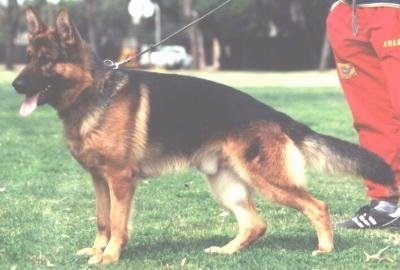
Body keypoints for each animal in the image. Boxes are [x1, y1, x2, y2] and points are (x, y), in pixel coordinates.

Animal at [13, 6, 396, 266]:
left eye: (46, 60)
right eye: (28, 57)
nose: (15, 84)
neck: (94, 92)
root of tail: (275, 115)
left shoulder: (120, 180)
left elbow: (118, 223)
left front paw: (109, 256)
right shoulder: (99, 180)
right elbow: (102, 219)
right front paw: (97, 250)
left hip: (268, 180)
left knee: (317, 206)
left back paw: (325, 249)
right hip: (225, 183)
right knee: (256, 224)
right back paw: (226, 251)